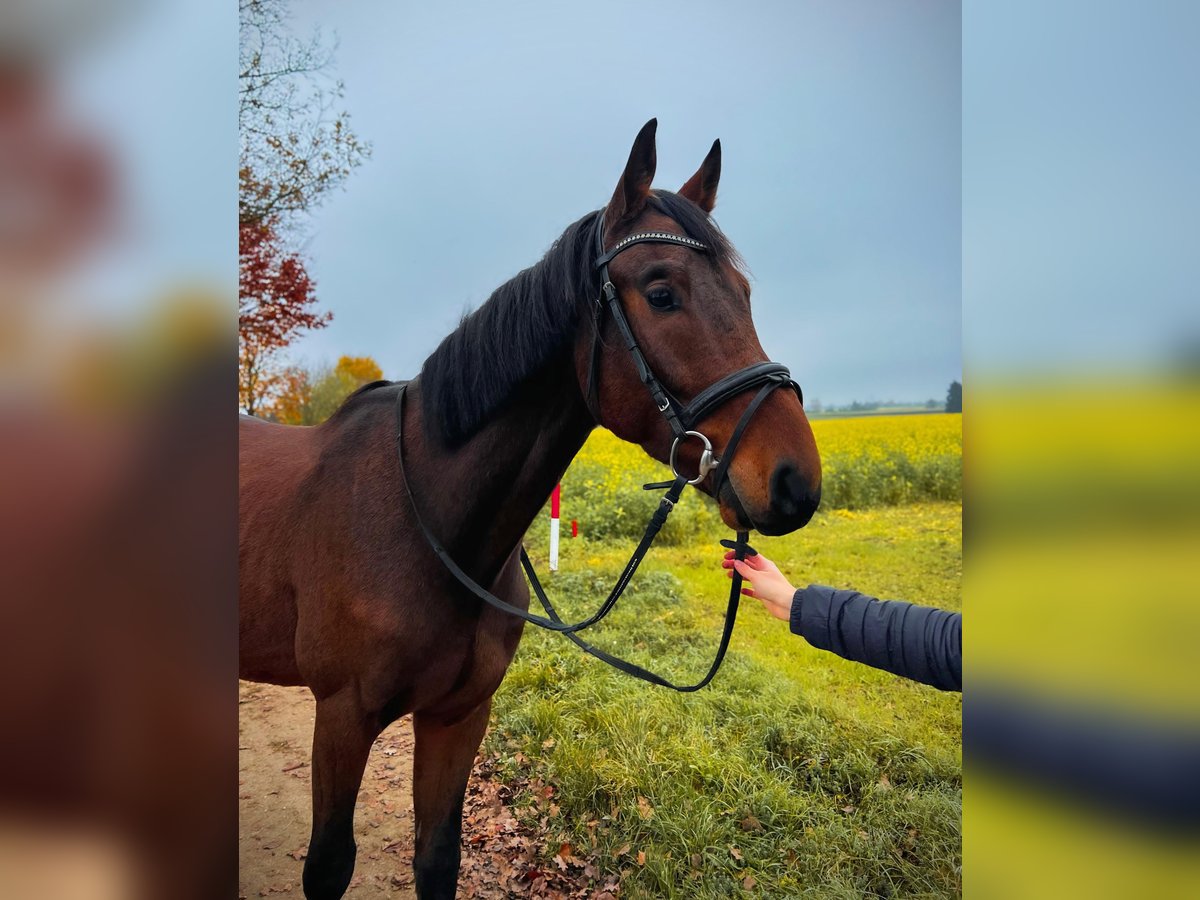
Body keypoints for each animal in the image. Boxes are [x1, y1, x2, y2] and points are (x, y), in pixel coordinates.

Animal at [243, 121, 825, 900]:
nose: (796, 481)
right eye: (661, 291)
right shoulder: (341, 716)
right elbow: (329, 866)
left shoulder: (458, 717)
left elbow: (438, 859)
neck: (428, 526)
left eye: (743, 290)